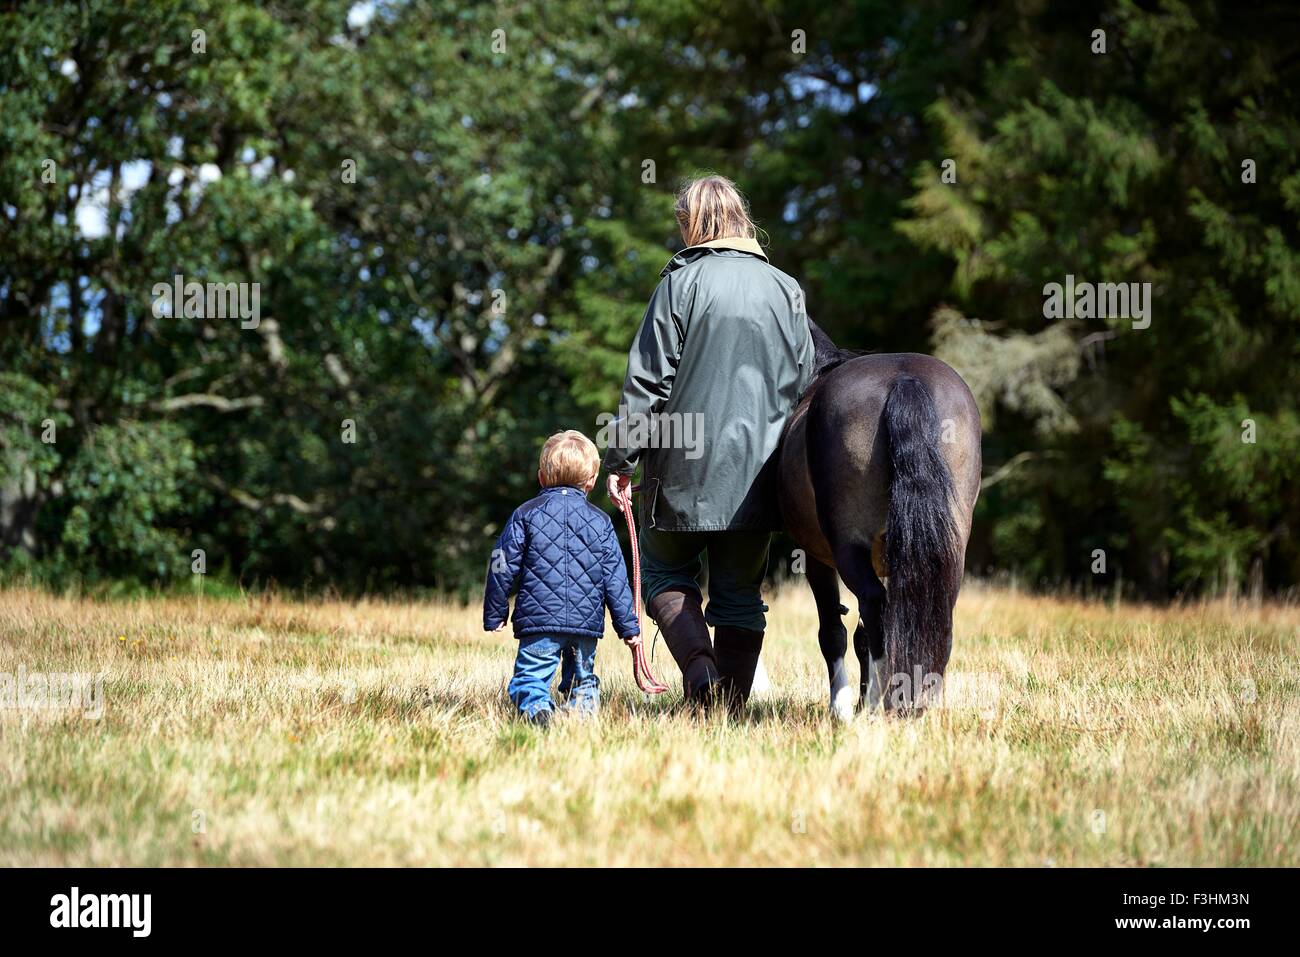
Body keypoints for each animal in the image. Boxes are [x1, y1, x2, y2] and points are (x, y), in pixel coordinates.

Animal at [774, 323, 977, 717]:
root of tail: (904, 380)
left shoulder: (816, 557)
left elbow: (834, 632)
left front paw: (840, 706)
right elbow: (862, 635)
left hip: (848, 546)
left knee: (874, 607)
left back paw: (874, 708)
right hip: (950, 545)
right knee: (935, 610)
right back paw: (923, 704)